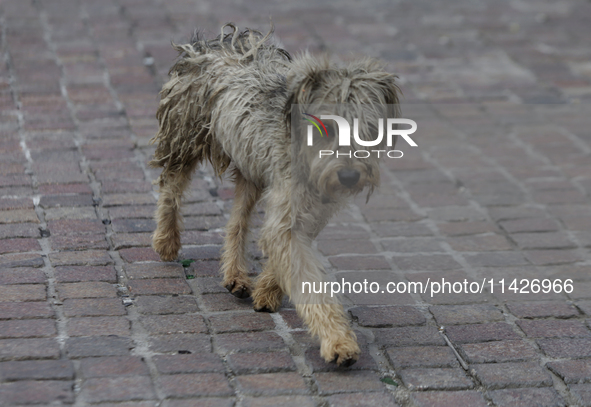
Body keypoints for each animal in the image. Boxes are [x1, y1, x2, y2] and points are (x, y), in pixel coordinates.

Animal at [151, 23, 402, 366]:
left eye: (368, 129)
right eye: (326, 127)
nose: (349, 176)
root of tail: (223, 40)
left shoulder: (309, 213)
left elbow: (284, 254)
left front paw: (268, 291)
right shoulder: (288, 210)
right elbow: (308, 281)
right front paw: (338, 341)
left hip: (250, 168)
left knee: (237, 221)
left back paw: (236, 274)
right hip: (185, 138)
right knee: (171, 188)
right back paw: (166, 240)